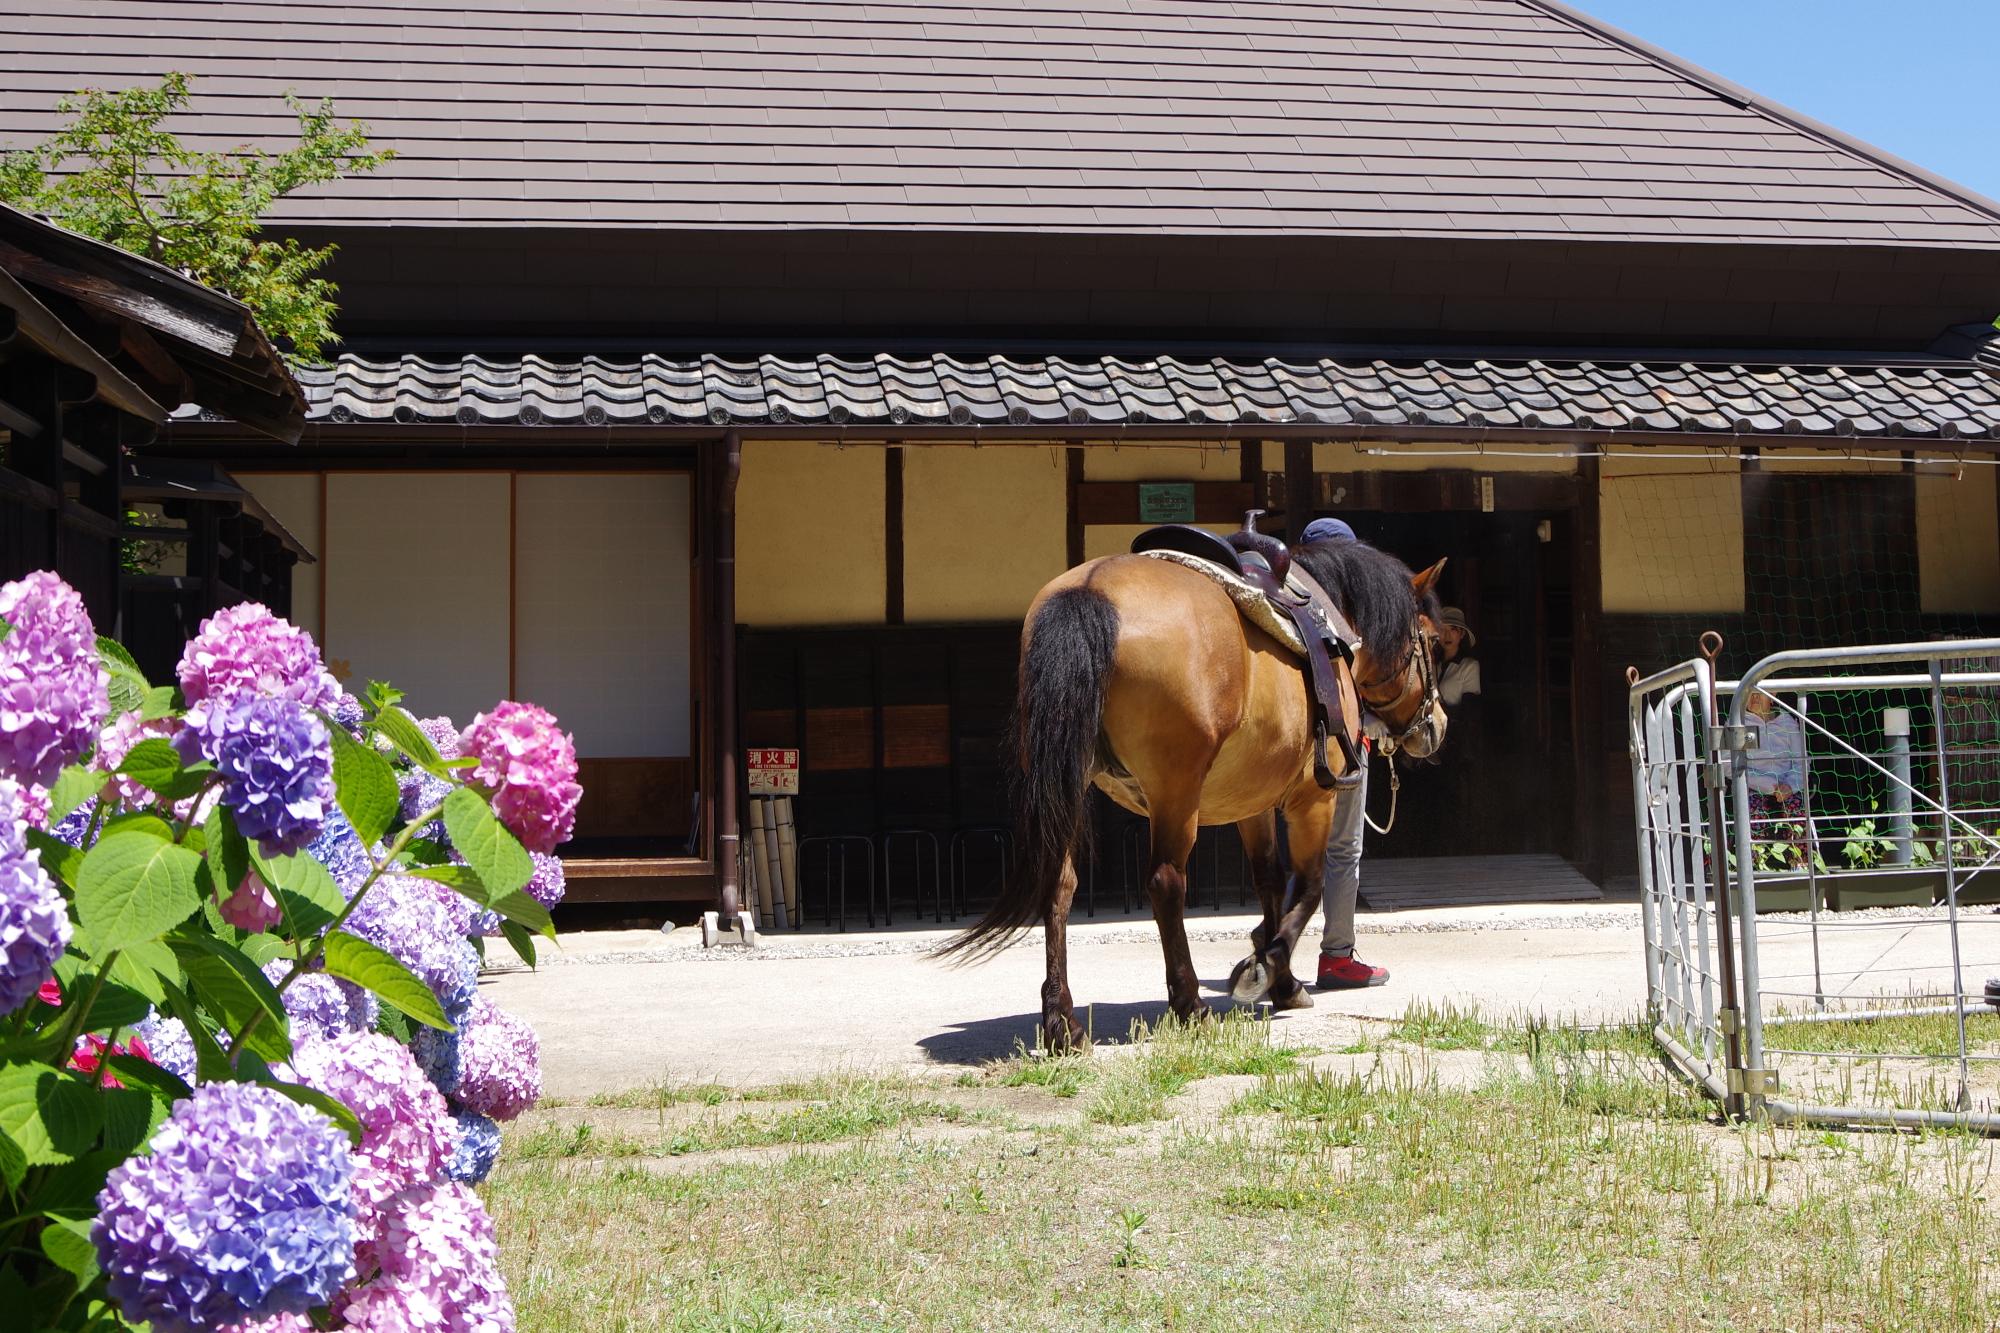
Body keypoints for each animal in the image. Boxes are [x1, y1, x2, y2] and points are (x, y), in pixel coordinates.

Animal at [939, 536, 1448, 1052]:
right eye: (1431, 640)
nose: (1437, 725)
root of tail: (1091, 588)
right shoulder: (1312, 797)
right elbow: (1309, 886)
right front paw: (1266, 968)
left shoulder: (1252, 802)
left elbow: (1268, 880)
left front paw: (1281, 978)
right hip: (1176, 791)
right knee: (1167, 882)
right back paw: (1189, 1003)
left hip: (1069, 784)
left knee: (1059, 884)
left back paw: (1063, 1020)